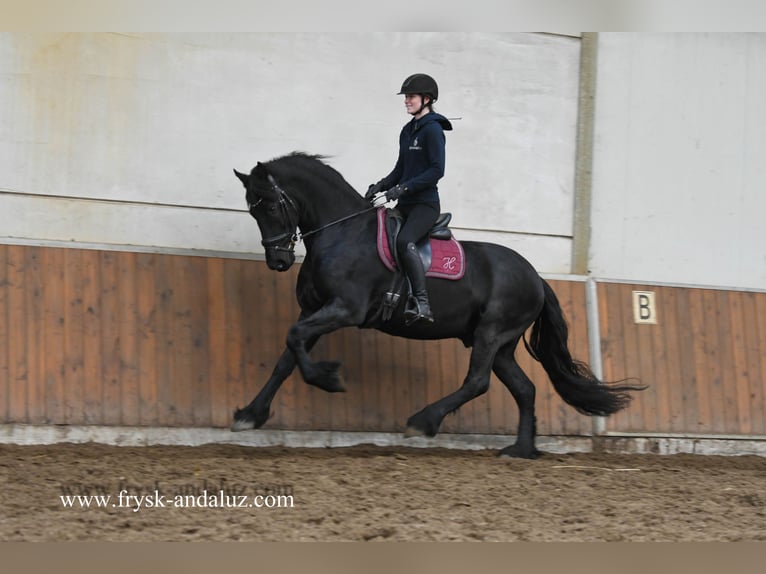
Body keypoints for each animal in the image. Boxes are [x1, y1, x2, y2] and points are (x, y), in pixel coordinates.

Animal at [232, 152, 644, 458]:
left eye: (272, 206)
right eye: (252, 210)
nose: (279, 261)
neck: (341, 232)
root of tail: (535, 277)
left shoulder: (345, 310)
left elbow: (293, 340)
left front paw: (329, 379)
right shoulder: (315, 311)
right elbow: (288, 355)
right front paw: (250, 415)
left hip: (491, 334)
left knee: (477, 381)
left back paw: (423, 421)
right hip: (502, 344)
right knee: (524, 388)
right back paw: (520, 450)